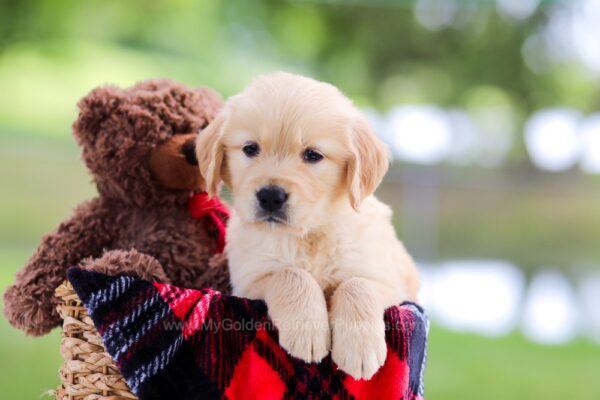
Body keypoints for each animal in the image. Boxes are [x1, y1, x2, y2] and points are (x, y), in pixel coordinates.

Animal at [196, 72, 418, 382]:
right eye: (250, 148)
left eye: (313, 155)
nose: (270, 196)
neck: (309, 234)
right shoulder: (249, 283)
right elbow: (290, 274)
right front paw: (308, 331)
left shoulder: (390, 283)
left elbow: (356, 284)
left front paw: (359, 348)